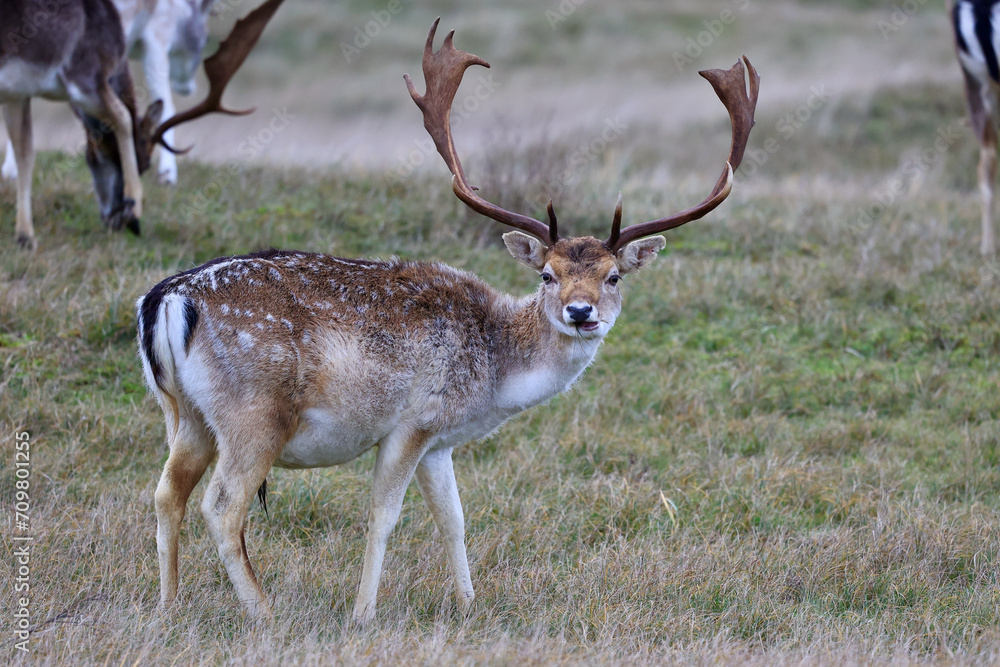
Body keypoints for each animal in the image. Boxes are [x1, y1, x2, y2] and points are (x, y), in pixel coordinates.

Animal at [136, 19, 759, 623]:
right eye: (547, 275)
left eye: (613, 277)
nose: (580, 312)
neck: (491, 378)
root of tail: (165, 300)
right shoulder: (412, 422)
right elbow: (384, 515)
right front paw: (363, 615)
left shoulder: (440, 442)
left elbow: (454, 518)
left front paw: (468, 605)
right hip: (254, 414)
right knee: (222, 506)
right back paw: (264, 613)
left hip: (186, 414)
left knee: (167, 492)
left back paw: (168, 606)